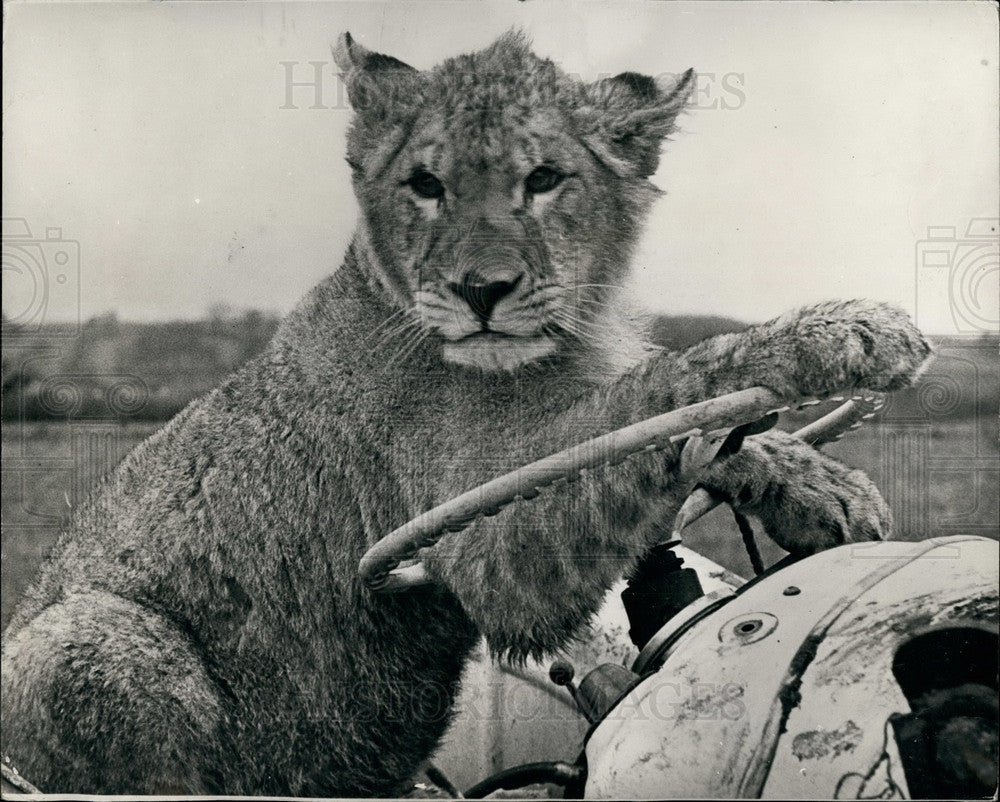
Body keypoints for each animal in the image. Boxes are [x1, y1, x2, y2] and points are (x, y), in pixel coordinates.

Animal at [0, 31, 931, 795]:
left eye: (544, 180)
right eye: (426, 186)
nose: (482, 288)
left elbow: (677, 425)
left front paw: (826, 487)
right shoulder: (477, 548)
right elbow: (658, 385)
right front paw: (844, 332)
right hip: (88, 640)